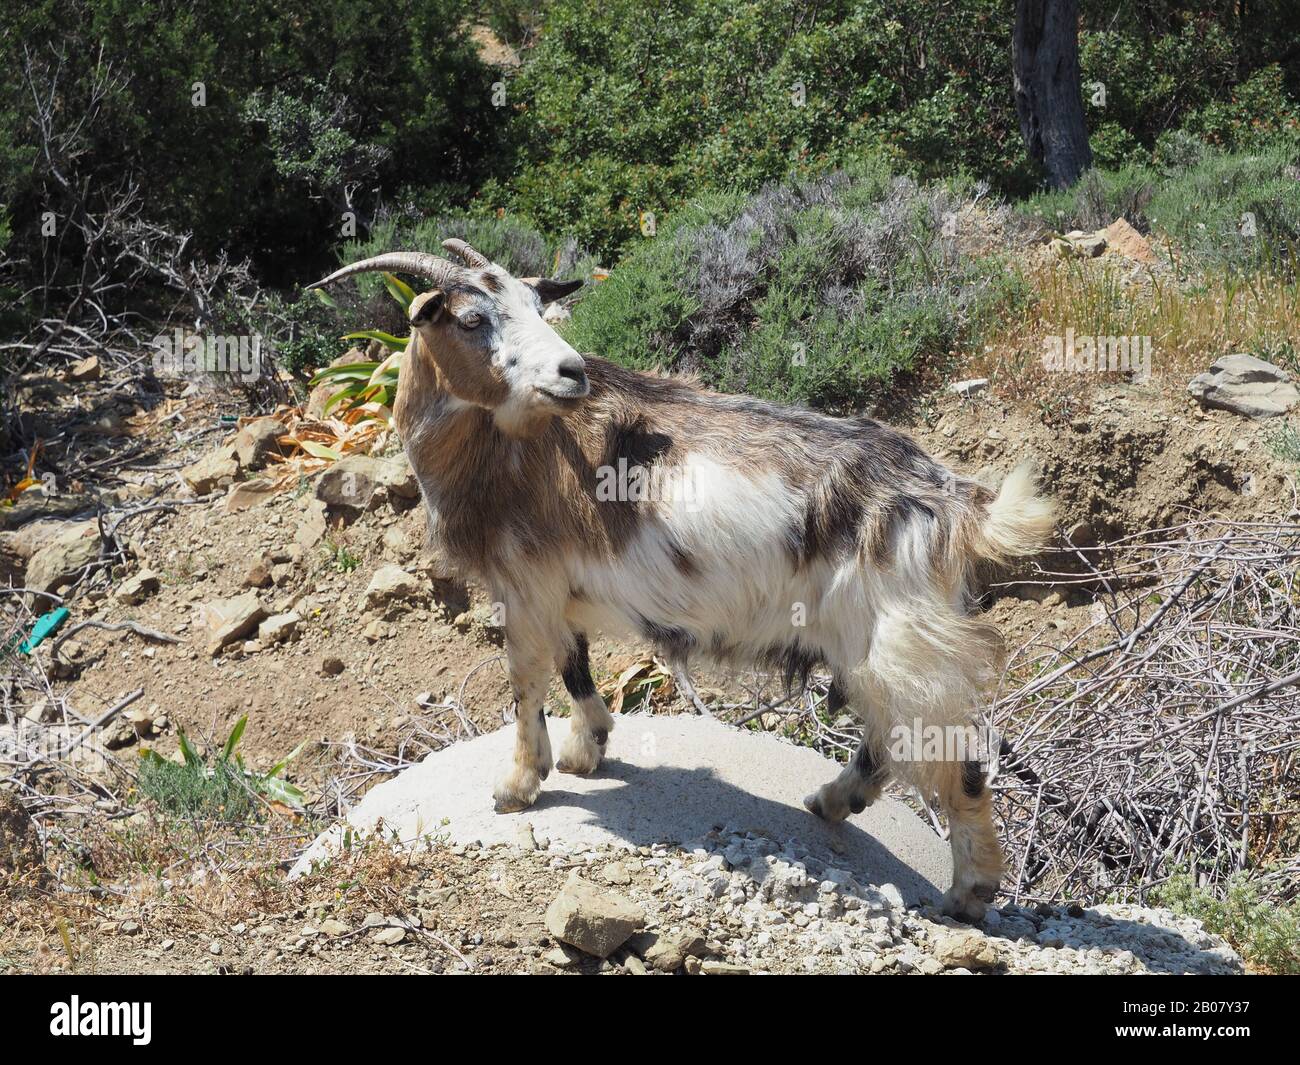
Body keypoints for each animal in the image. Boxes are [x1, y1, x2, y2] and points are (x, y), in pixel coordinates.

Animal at [312, 239, 1055, 915]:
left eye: (535, 305)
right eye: (471, 319)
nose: (571, 372)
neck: (501, 447)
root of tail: (952, 500)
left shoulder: (524, 585)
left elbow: (526, 683)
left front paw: (518, 785)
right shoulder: (557, 587)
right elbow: (574, 662)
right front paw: (588, 749)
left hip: (901, 640)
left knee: (954, 754)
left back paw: (968, 890)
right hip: (872, 645)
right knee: (885, 738)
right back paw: (829, 800)